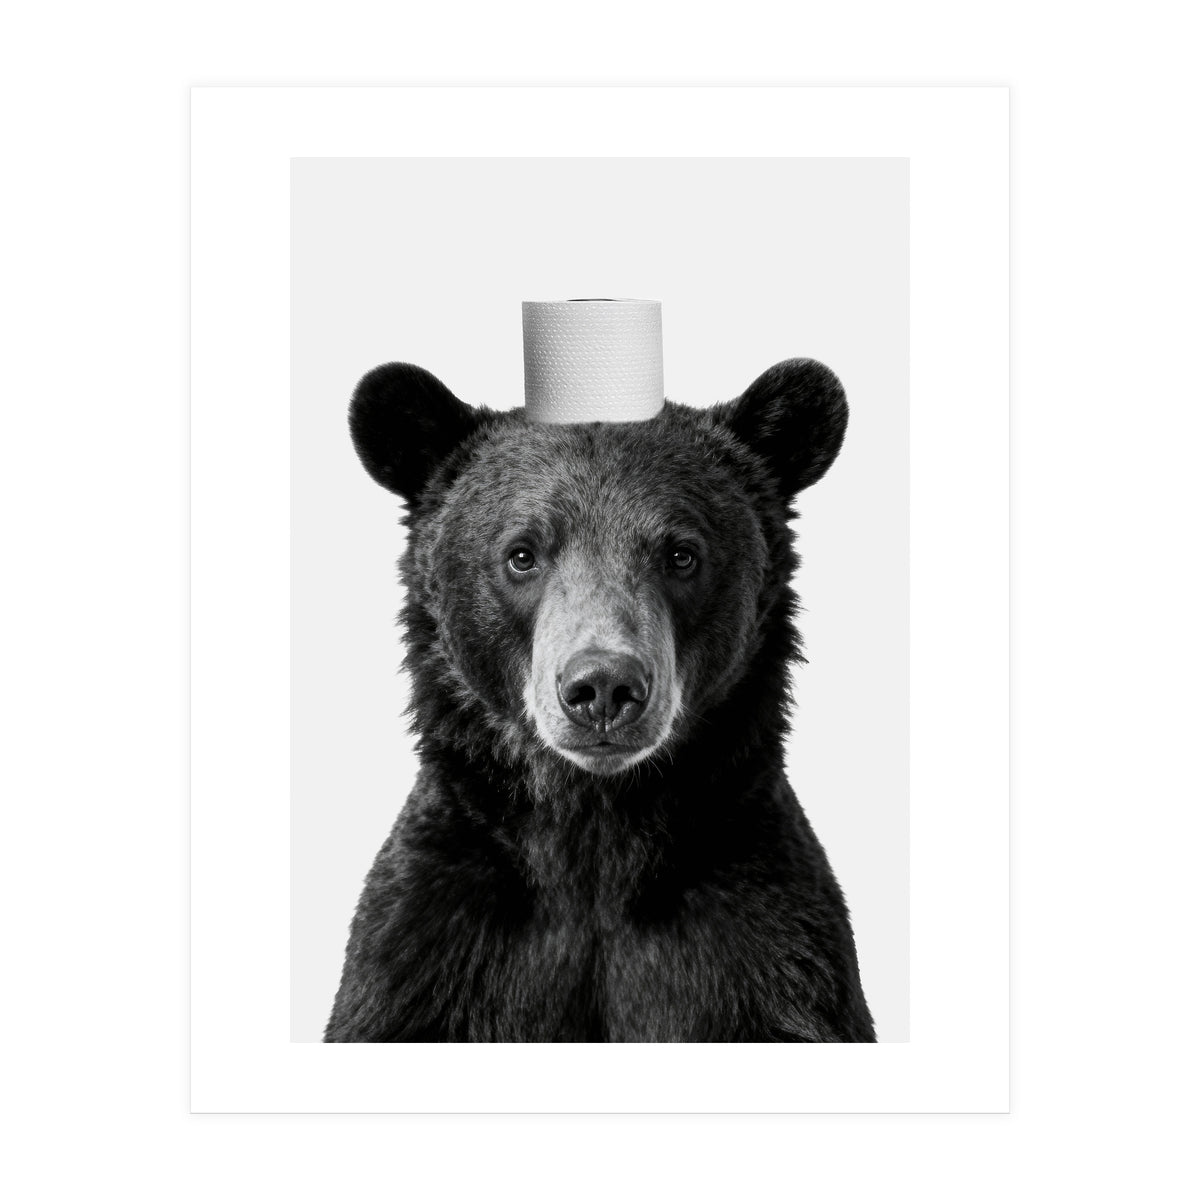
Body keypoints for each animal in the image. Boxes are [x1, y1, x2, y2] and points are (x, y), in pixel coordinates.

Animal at [324, 358, 876, 1042]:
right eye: (522, 554)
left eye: (681, 554)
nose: (604, 687)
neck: (595, 830)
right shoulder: (430, 946)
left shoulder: (766, 946)